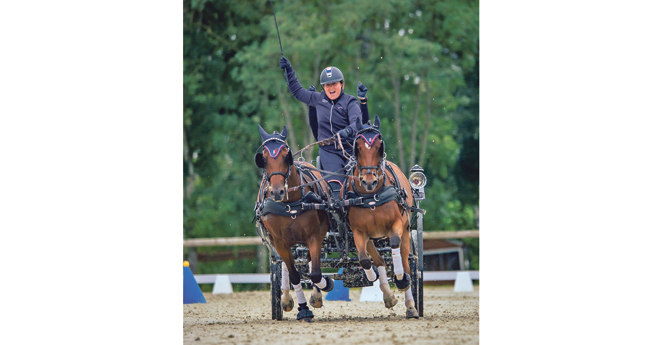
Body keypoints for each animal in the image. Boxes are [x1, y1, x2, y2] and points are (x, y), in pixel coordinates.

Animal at [253, 124, 336, 322]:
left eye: (286, 155)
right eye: (264, 159)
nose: (277, 192)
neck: (289, 204)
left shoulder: (314, 236)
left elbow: (315, 273)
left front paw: (327, 284)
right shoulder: (279, 242)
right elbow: (294, 275)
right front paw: (303, 309)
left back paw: (317, 294)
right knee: (288, 267)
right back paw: (286, 299)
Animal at [340, 115, 418, 318]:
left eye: (379, 146)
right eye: (357, 147)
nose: (369, 181)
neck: (371, 197)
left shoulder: (397, 224)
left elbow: (394, 246)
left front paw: (401, 279)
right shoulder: (359, 232)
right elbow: (365, 260)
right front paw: (371, 275)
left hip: (406, 230)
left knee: (406, 262)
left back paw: (411, 304)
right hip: (371, 238)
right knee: (380, 260)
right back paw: (388, 295)